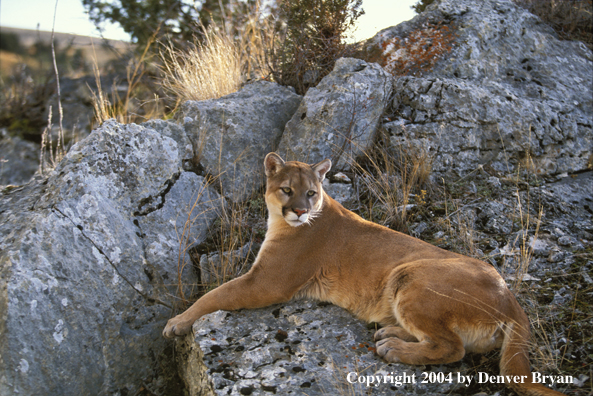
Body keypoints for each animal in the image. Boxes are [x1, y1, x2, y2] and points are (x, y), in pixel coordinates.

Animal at [162, 152, 564, 396]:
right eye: (287, 190)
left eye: (311, 193)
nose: (300, 211)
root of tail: (512, 300)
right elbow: (217, 292)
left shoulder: (266, 281)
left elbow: (216, 293)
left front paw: (177, 323)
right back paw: (390, 332)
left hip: (409, 274)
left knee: (452, 347)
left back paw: (393, 347)